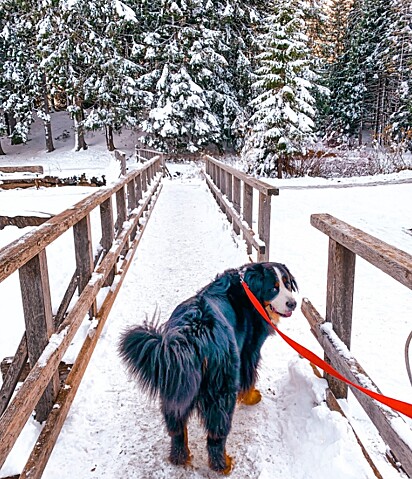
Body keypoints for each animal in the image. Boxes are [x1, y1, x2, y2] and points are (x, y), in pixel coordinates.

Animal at [118, 262, 296, 476]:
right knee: (216, 434)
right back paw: (223, 465)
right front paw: (251, 396)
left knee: (177, 427)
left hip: (175, 380)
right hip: (221, 388)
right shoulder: (249, 349)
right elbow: (250, 375)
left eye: (287, 284)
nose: (293, 303)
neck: (248, 290)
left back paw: (179, 457)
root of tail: (195, 332)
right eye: (274, 288)